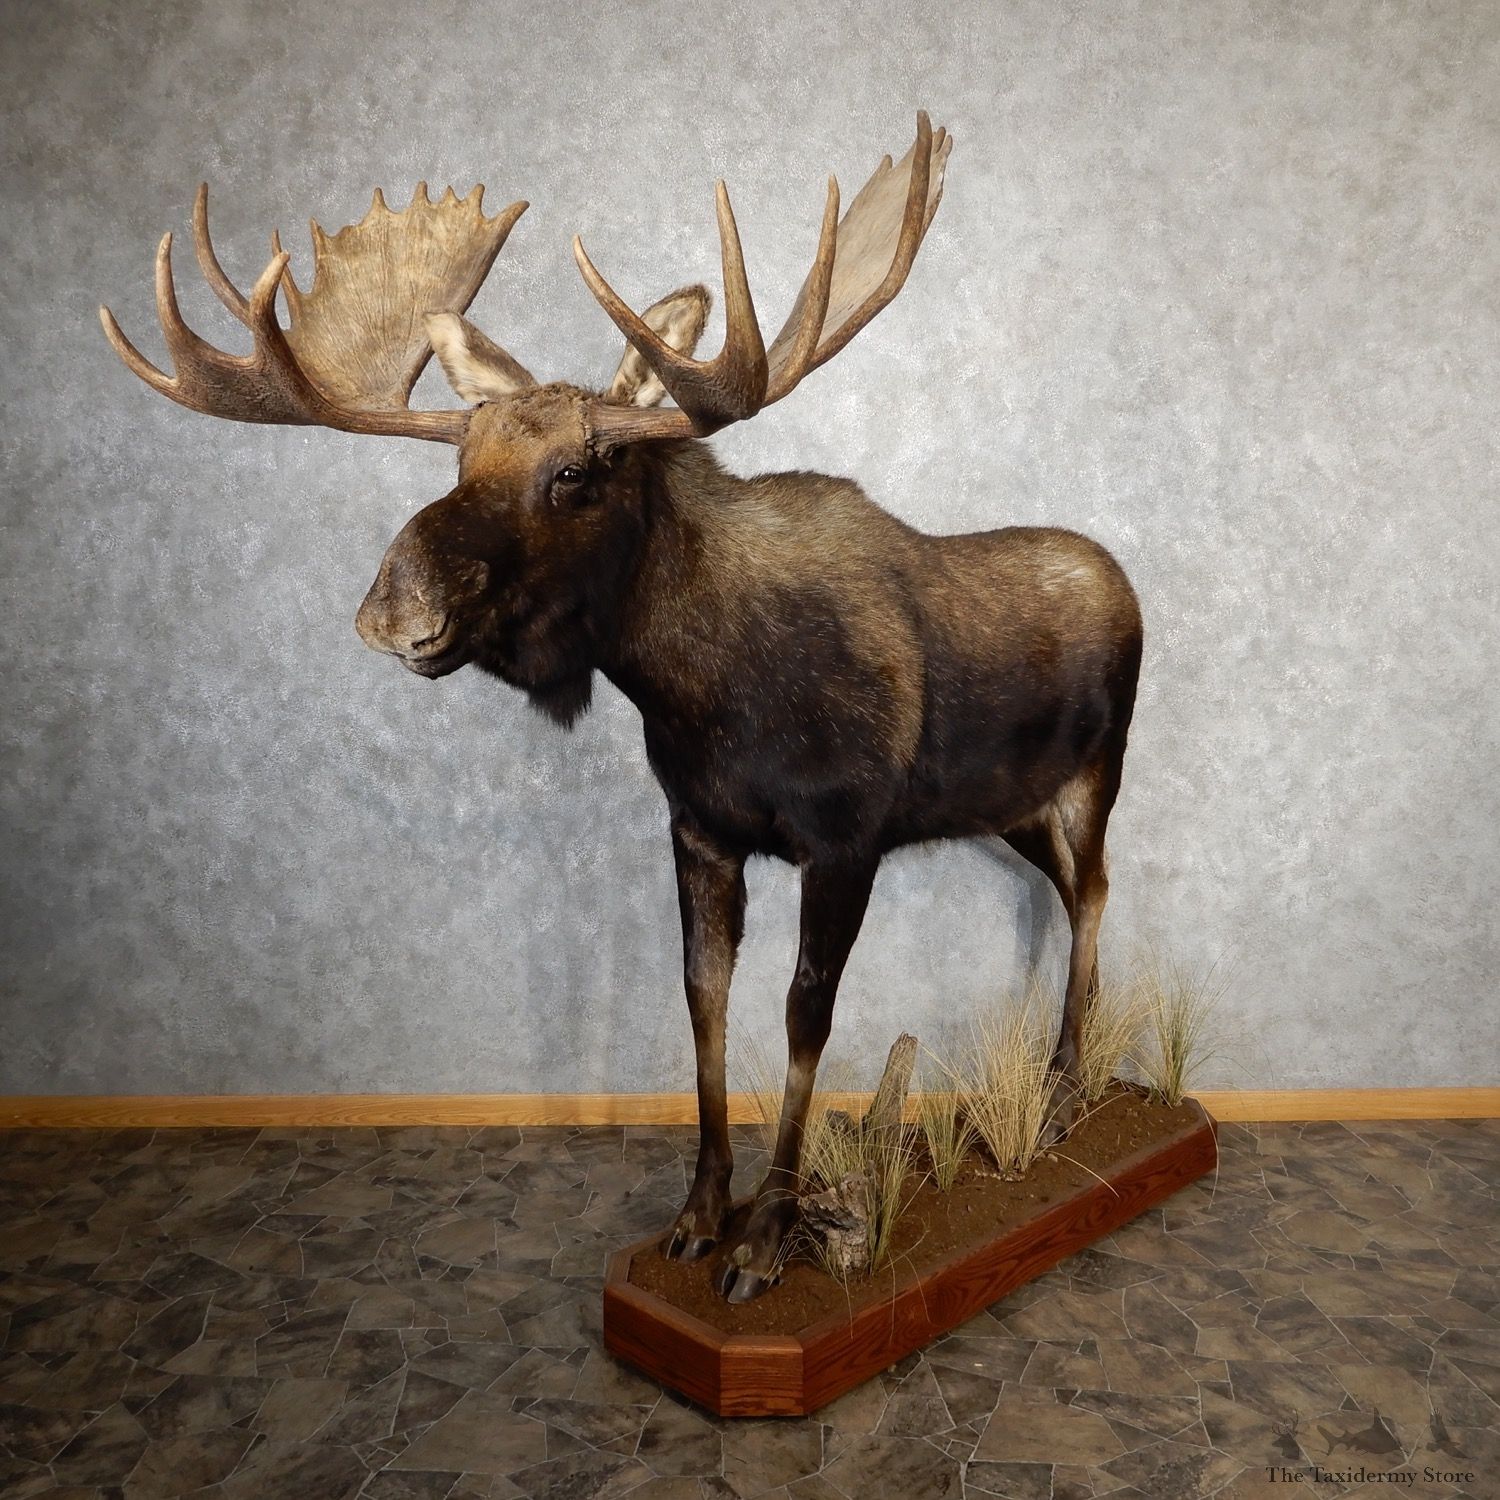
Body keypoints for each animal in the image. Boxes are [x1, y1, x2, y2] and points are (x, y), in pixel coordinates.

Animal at [100, 114, 1143, 1302]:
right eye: (461, 457)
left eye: (580, 470)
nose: (392, 608)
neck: (707, 694)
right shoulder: (697, 827)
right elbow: (702, 1004)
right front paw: (697, 1218)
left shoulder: (845, 840)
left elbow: (805, 1017)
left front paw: (765, 1236)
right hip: (1010, 808)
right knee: (1068, 892)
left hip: (1094, 776)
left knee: (1094, 892)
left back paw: (1069, 1089)